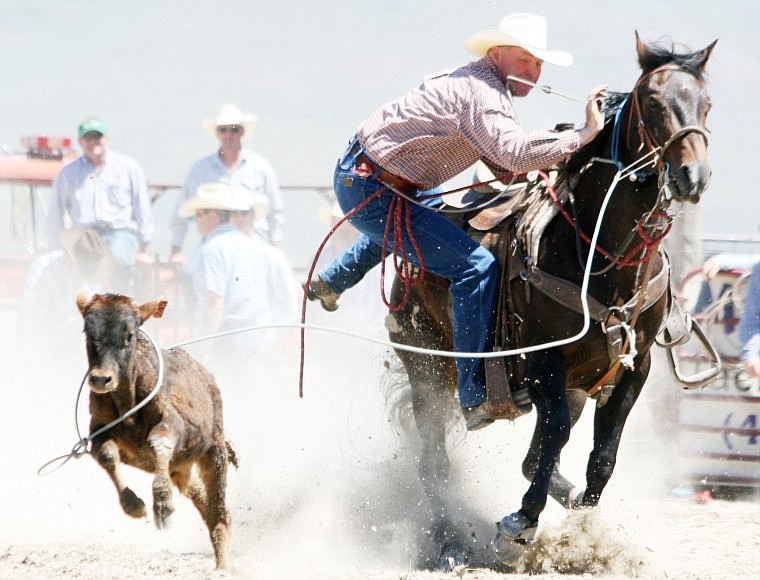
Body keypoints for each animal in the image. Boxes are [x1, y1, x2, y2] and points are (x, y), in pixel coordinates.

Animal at [76, 292, 238, 568]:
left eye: (129, 335)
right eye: (88, 332)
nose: (100, 379)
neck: (127, 404)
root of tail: (206, 376)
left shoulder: (172, 425)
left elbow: (159, 442)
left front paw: (163, 507)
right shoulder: (98, 432)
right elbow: (107, 455)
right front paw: (133, 504)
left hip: (213, 452)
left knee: (219, 510)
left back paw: (223, 566)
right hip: (181, 468)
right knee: (203, 501)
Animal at [388, 34, 716, 568]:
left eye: (706, 104)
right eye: (652, 102)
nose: (694, 175)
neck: (597, 255)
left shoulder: (635, 366)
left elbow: (602, 456)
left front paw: (583, 526)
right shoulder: (545, 363)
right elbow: (556, 439)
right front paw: (520, 525)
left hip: (572, 387)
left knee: (530, 455)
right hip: (426, 366)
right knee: (434, 457)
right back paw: (443, 536)